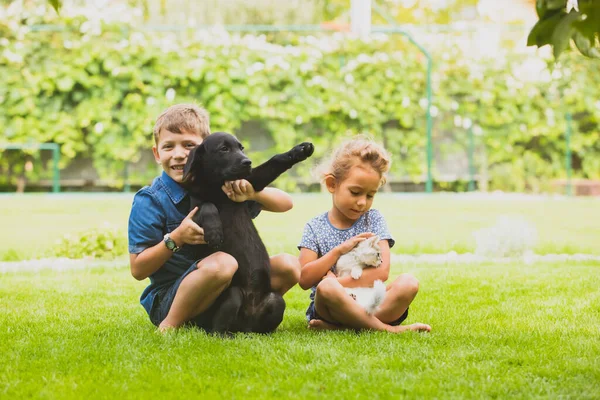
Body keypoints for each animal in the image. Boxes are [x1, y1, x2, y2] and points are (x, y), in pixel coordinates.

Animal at [182, 132, 314, 334]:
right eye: (224, 149)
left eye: (241, 148)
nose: (248, 162)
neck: (217, 187)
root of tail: (245, 326)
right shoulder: (192, 217)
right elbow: (208, 205)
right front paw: (214, 232)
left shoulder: (250, 184)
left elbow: (274, 162)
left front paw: (299, 151)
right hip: (234, 294)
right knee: (217, 329)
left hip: (276, 300)